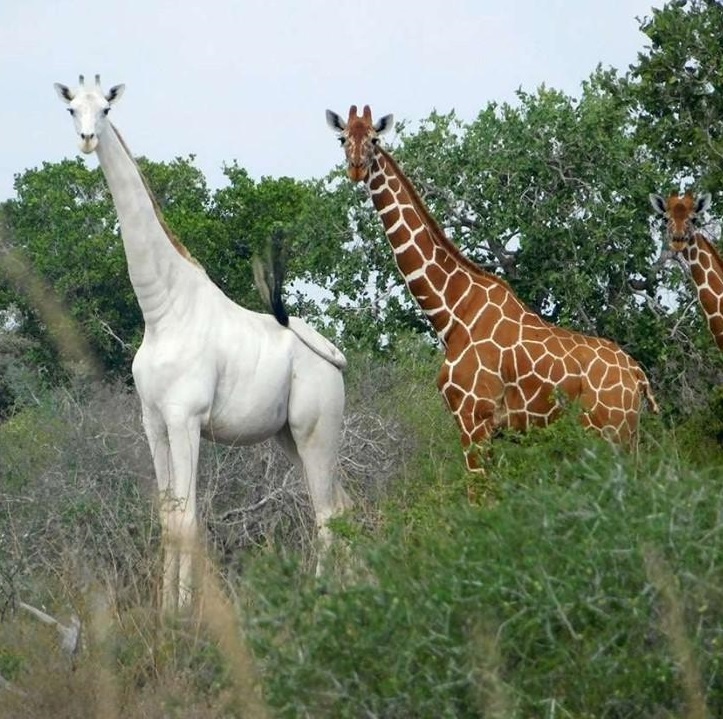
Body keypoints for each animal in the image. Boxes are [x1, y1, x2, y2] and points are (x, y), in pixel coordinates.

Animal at [55, 76, 350, 612]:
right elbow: (168, 517)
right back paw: (358, 586)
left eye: (106, 108)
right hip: (289, 436)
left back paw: (323, 597)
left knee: (327, 513)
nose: (87, 139)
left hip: (316, 429)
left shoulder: (186, 418)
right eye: (71, 109)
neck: (162, 311)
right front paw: (162, 611)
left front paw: (184, 616)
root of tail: (337, 361)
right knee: (343, 504)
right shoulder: (153, 422)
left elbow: (189, 519)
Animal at [328, 102, 660, 472]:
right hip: (625, 435)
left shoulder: (474, 418)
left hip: (611, 433)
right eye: (343, 138)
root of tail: (638, 377)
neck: (452, 311)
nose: (357, 168)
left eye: (373, 139)